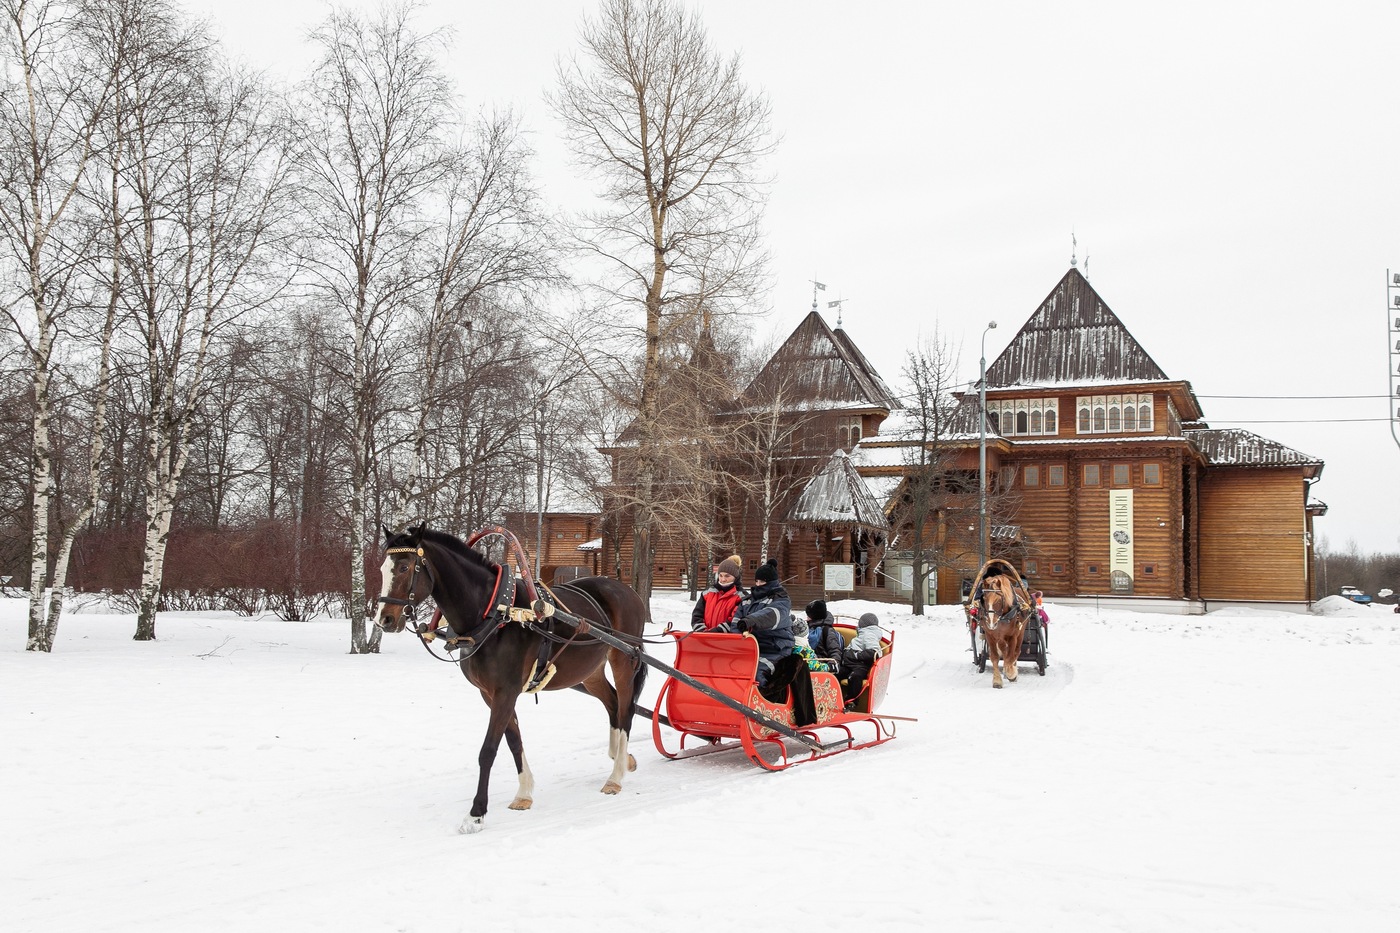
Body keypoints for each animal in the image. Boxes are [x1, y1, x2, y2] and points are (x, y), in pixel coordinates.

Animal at [378, 526, 649, 829]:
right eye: (382, 568)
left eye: (404, 567)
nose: (384, 619)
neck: (494, 613)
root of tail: (627, 590)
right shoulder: (489, 694)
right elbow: (513, 741)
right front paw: (524, 793)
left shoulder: (505, 692)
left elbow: (488, 750)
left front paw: (477, 812)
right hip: (590, 670)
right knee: (612, 703)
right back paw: (620, 757)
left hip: (623, 659)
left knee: (626, 708)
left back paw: (615, 775)